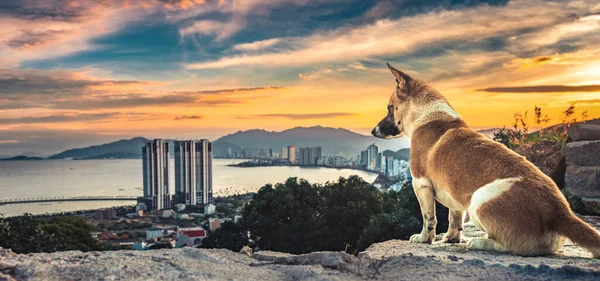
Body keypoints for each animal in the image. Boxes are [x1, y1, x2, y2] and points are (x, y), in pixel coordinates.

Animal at [370, 62, 600, 258]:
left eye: (389, 108)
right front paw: (451, 238)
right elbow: (454, 217)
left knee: (507, 245)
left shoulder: (421, 184)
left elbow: (429, 218)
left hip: (478, 202)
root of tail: (559, 212)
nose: (373, 131)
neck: (427, 114)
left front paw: (424, 238)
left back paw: (479, 242)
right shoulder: (454, 192)